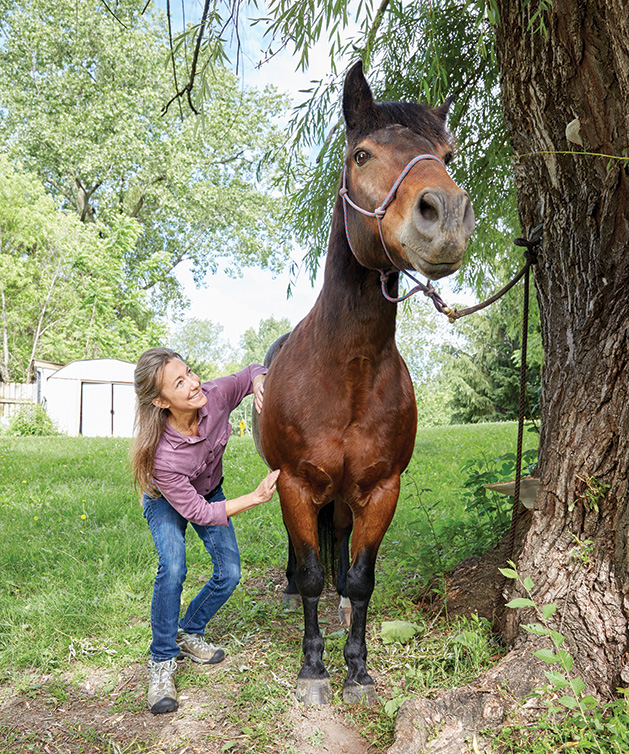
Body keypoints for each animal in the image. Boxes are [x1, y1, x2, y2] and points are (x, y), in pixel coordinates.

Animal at [253, 61, 474, 704]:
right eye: (361, 154)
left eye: (447, 155)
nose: (445, 214)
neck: (346, 374)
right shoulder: (295, 485)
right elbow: (308, 572)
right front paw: (313, 668)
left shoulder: (379, 491)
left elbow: (360, 579)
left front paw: (357, 668)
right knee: (301, 561)